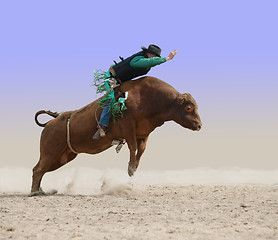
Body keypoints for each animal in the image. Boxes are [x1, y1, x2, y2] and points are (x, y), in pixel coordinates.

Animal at [31, 77, 201, 195]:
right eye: (188, 108)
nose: (199, 125)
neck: (148, 98)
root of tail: (52, 122)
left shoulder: (143, 133)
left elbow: (141, 149)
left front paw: (134, 167)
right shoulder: (128, 126)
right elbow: (133, 146)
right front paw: (131, 168)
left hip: (63, 156)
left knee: (40, 169)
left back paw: (40, 190)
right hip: (50, 151)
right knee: (38, 169)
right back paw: (34, 192)